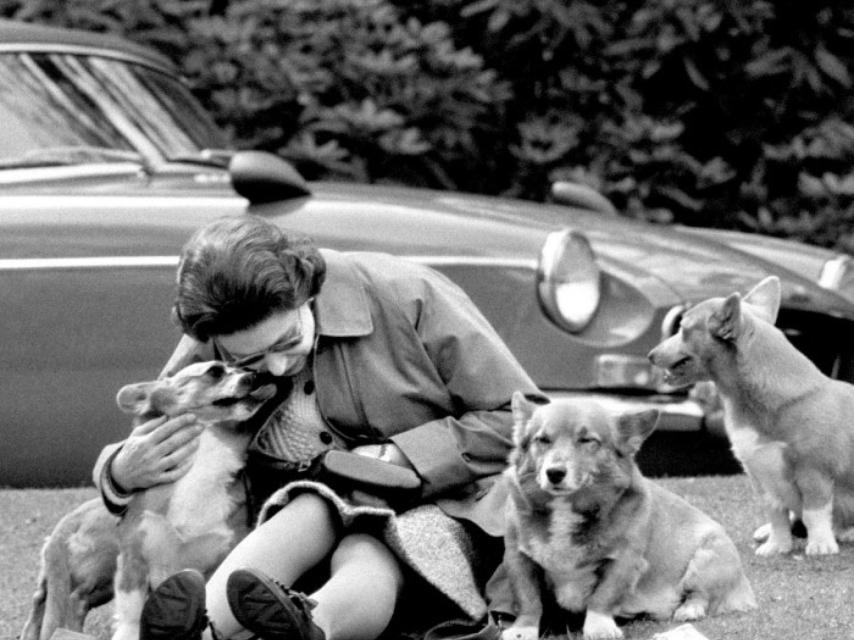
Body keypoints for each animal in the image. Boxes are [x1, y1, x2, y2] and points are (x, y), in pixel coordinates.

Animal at [21, 362, 274, 640]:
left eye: (243, 367)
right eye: (215, 372)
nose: (258, 375)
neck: (201, 460)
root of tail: (66, 524)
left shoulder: (221, 557)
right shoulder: (133, 562)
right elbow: (131, 617)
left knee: (59, 603)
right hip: (104, 565)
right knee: (68, 602)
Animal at [502, 392, 756, 640]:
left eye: (587, 440)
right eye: (542, 440)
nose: (554, 473)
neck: (566, 508)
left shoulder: (624, 560)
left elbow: (603, 596)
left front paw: (599, 627)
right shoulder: (519, 558)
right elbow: (529, 599)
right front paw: (523, 630)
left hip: (708, 558)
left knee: (700, 594)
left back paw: (689, 609)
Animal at [648, 278, 854, 556]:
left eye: (682, 329)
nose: (650, 354)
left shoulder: (814, 473)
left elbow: (814, 513)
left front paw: (820, 544)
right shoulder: (762, 479)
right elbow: (776, 516)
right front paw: (776, 546)